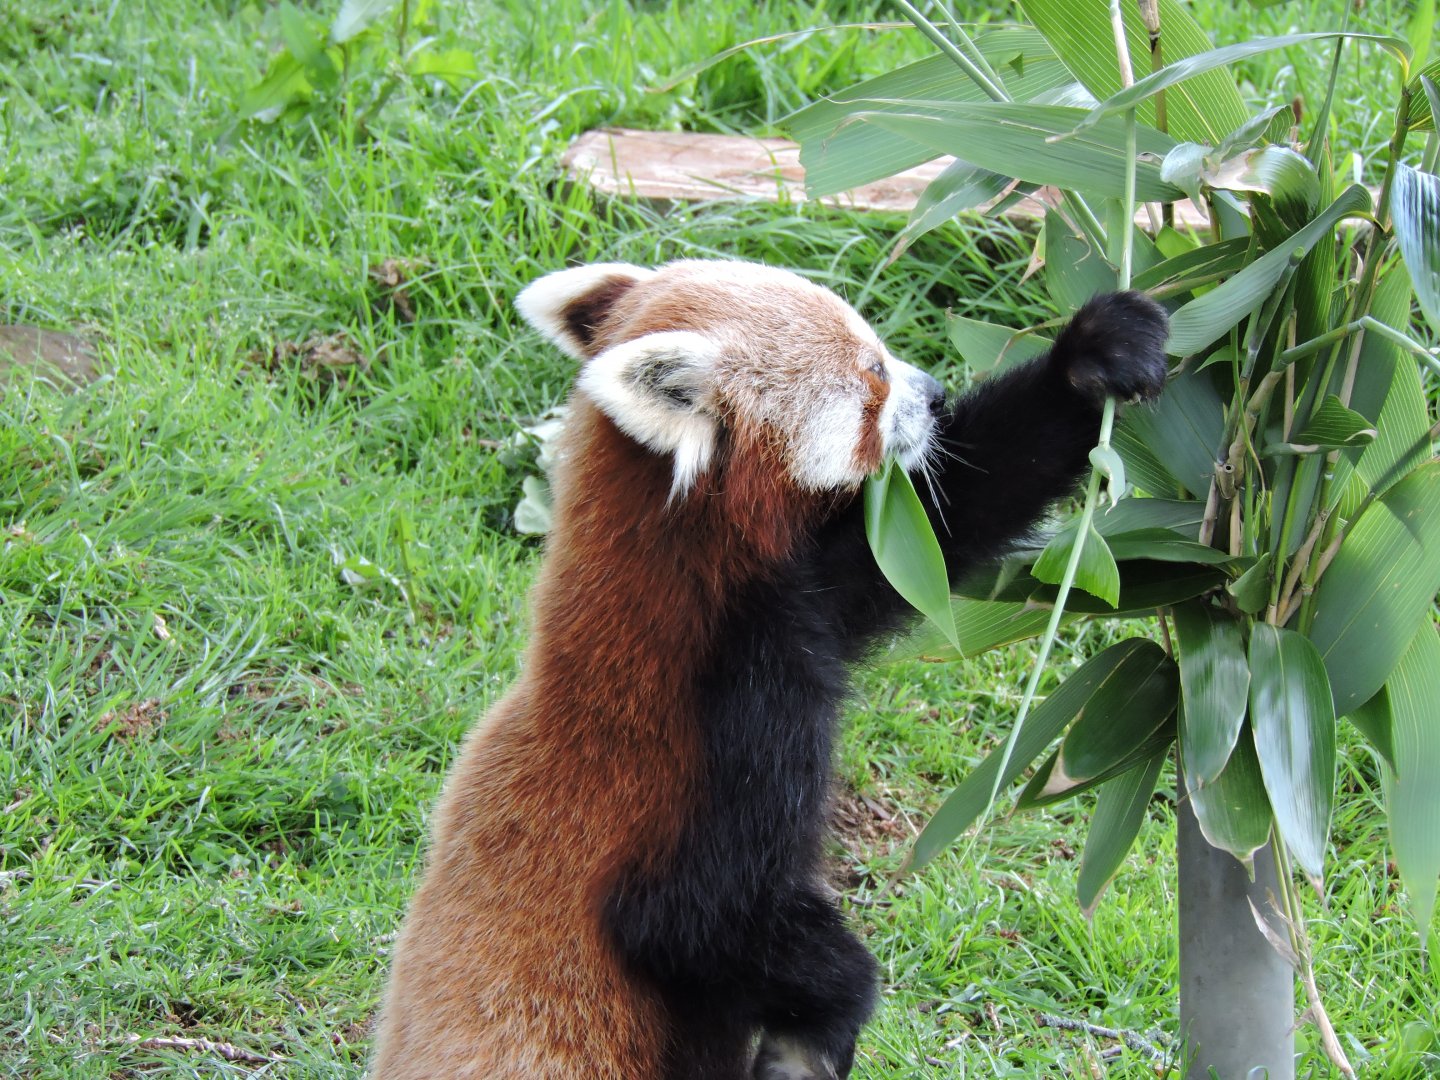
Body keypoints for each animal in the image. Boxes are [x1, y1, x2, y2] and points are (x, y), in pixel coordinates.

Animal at [371, 259, 1169, 1080]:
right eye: (872, 371)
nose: (937, 394)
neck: (686, 572)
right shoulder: (724, 709)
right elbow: (691, 922)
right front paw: (822, 1023)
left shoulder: (816, 591)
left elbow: (960, 504)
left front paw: (1096, 355)